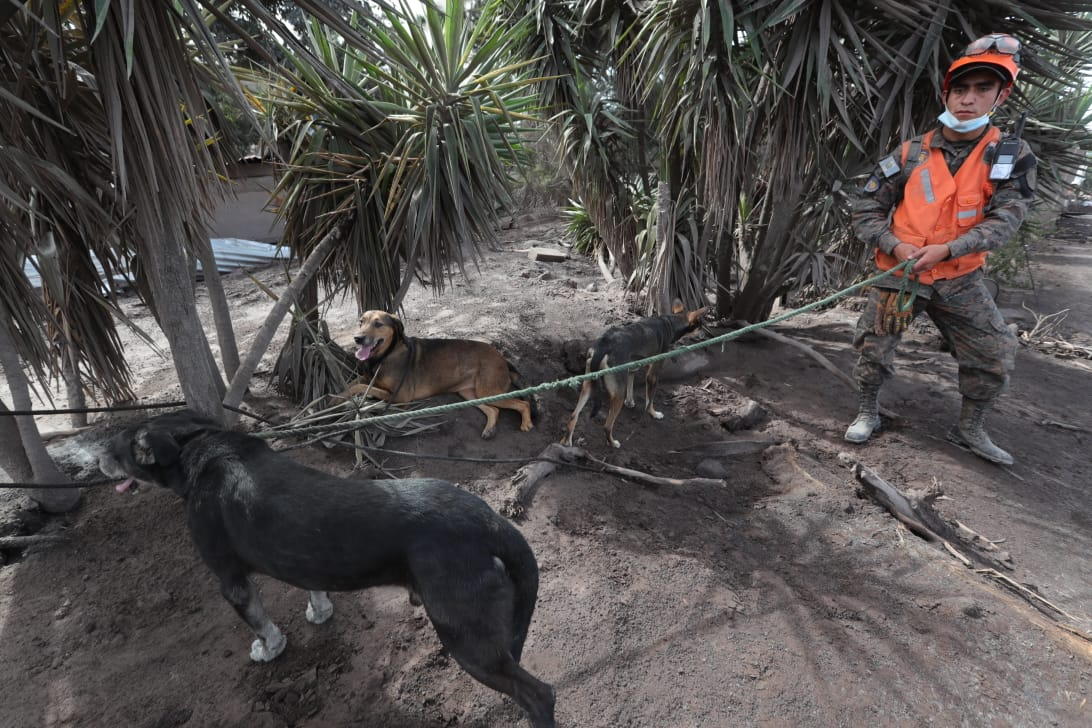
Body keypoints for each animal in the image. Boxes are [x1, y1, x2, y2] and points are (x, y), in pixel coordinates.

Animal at [97, 410, 554, 728]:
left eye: (120, 448)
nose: (97, 460)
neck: (197, 446)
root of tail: (490, 522)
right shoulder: (302, 562)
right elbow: (312, 586)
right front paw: (319, 612)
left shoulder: (230, 579)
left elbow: (259, 622)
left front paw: (270, 648)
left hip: (467, 640)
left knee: (540, 694)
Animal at [336, 309, 532, 438]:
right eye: (361, 322)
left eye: (378, 324)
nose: (357, 338)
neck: (386, 354)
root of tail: (502, 357)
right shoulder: (369, 378)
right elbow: (354, 383)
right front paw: (333, 398)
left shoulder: (401, 398)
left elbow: (361, 387)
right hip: (469, 393)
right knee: (494, 410)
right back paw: (489, 429)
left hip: (488, 391)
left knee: (523, 403)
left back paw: (526, 423)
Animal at [563, 301, 707, 449]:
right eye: (700, 326)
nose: (704, 336)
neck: (670, 323)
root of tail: (604, 344)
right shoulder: (652, 374)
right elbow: (650, 400)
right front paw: (653, 413)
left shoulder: (632, 367)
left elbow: (631, 384)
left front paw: (630, 402)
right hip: (618, 395)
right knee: (607, 426)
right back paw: (612, 442)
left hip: (588, 385)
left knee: (573, 415)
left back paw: (567, 441)